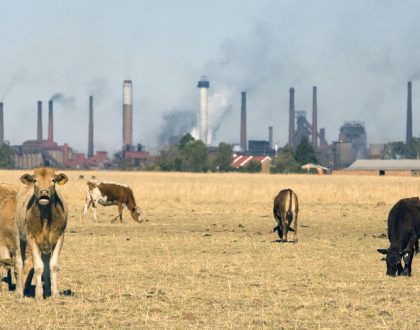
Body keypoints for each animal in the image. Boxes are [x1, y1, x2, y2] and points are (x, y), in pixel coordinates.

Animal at [13, 168, 68, 300]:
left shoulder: (60, 237)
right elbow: (38, 266)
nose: (44, 192)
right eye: (35, 180)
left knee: (47, 265)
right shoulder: (31, 238)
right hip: (18, 236)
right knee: (20, 262)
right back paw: (19, 292)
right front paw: (38, 294)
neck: (45, 218)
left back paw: (47, 291)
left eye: (53, 180)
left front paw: (55, 293)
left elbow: (52, 266)